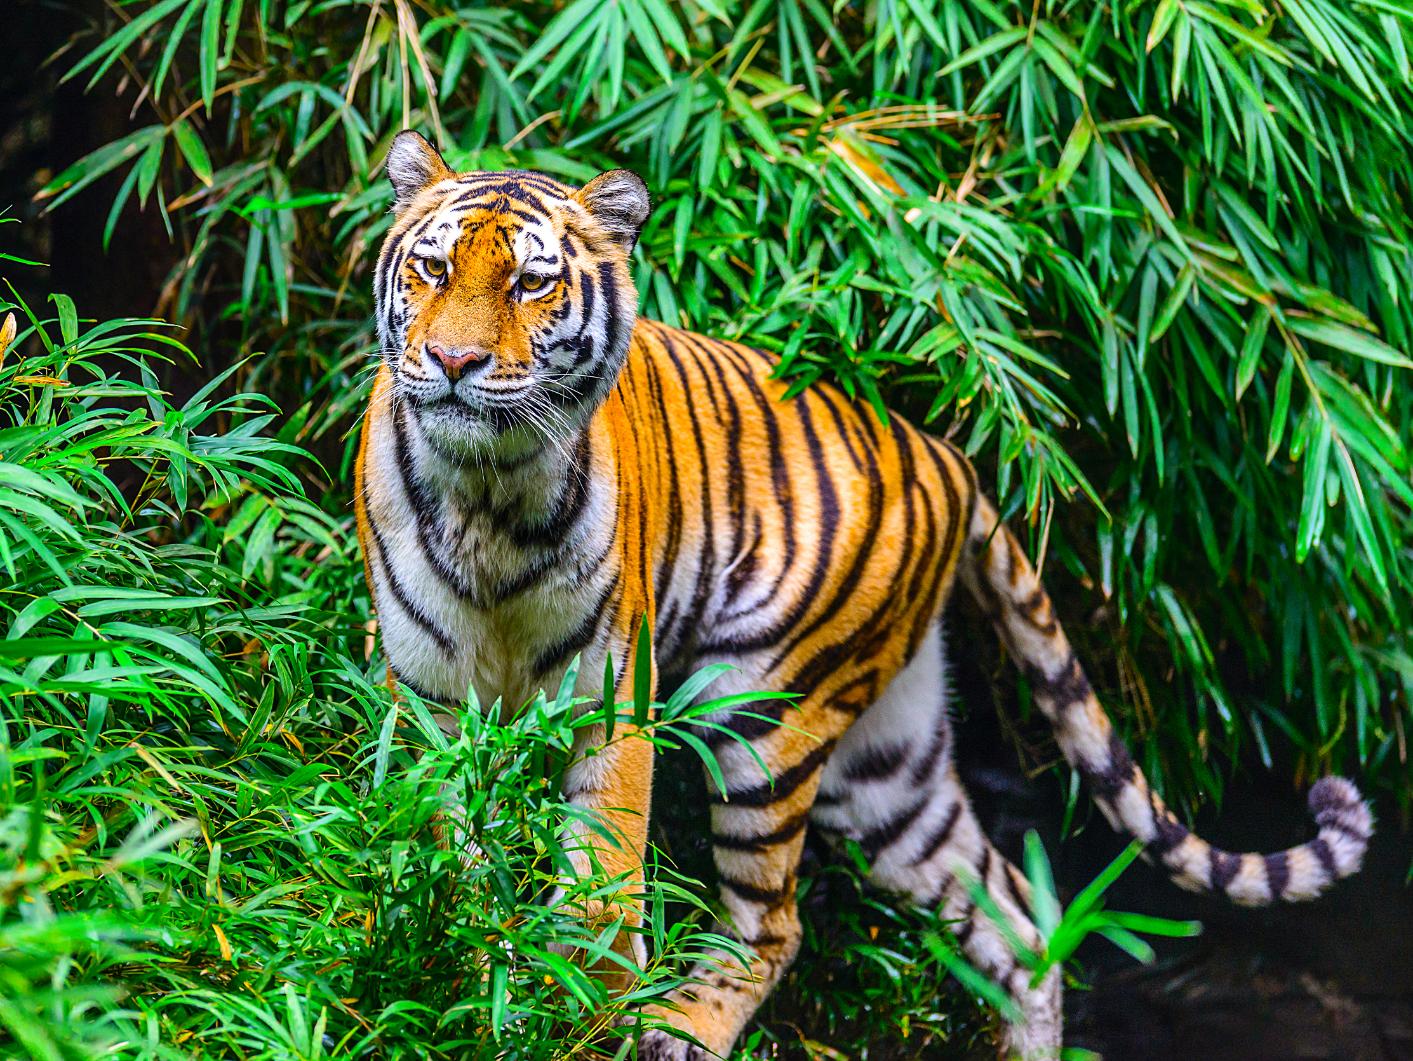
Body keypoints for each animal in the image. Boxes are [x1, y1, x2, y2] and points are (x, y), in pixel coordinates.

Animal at [354, 130, 1373, 1060]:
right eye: (434, 267)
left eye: (530, 284)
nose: (451, 362)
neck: (487, 493)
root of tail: (947, 453)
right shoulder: (426, 701)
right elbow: (450, 851)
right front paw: (464, 967)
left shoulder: (612, 703)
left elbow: (601, 888)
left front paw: (581, 1018)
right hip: (890, 771)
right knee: (1017, 924)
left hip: (764, 715)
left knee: (776, 925)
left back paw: (679, 1027)